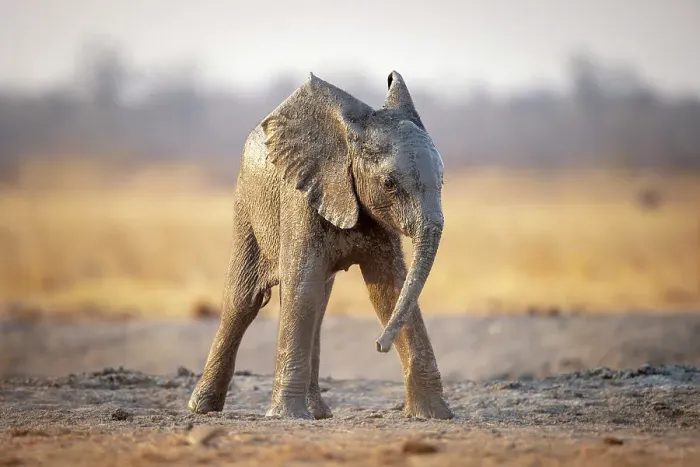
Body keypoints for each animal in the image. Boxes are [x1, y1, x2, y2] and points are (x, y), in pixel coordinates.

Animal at [188, 70, 454, 420]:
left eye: (442, 180)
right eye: (389, 184)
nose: (379, 345)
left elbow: (390, 290)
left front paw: (434, 415)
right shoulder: (300, 199)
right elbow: (301, 287)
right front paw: (285, 417)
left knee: (319, 304)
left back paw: (319, 413)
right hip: (246, 204)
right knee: (243, 300)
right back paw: (201, 408)